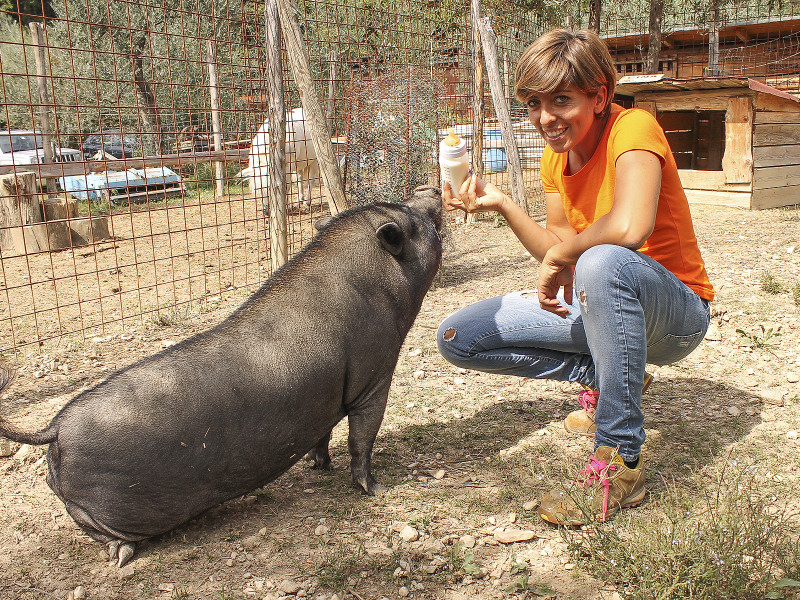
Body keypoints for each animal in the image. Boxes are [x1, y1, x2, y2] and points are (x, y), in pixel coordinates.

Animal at [0, 184, 444, 568]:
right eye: (415, 219)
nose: (431, 191)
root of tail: (55, 429)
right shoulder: (375, 374)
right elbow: (362, 437)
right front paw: (377, 490)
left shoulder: (327, 395)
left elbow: (323, 431)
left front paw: (320, 467)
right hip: (100, 505)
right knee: (102, 531)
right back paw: (122, 555)